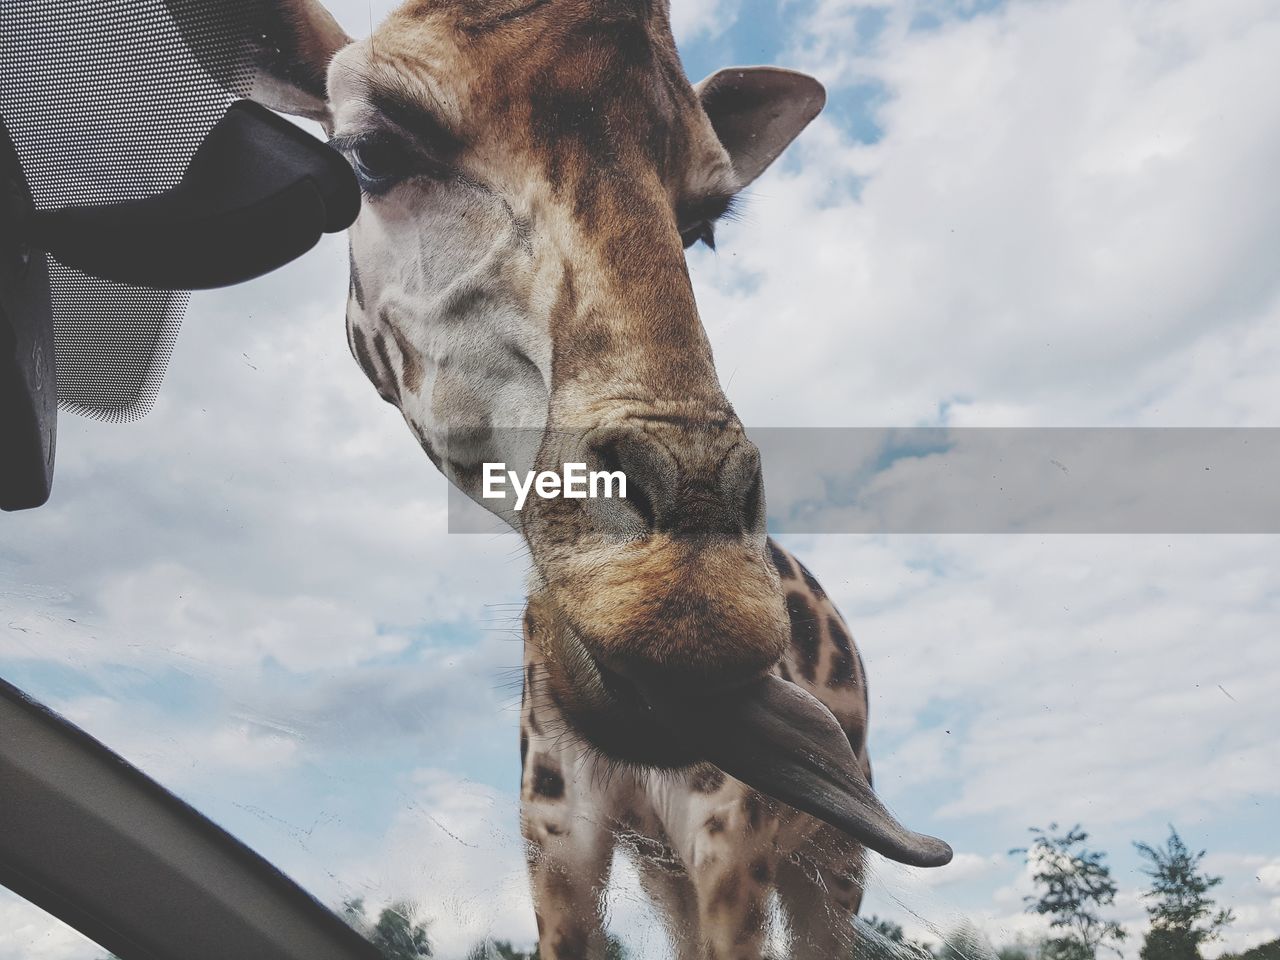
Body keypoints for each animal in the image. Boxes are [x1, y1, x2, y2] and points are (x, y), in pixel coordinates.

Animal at [167, 0, 952, 957]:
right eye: (372, 153)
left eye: (703, 222)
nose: (689, 604)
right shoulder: (557, 829)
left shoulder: (731, 837)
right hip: (671, 864)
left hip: (826, 863)